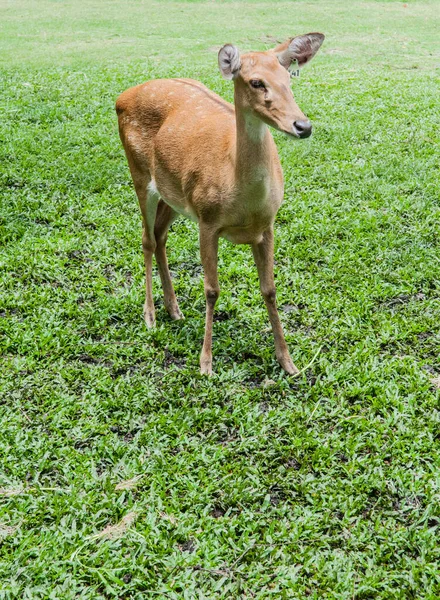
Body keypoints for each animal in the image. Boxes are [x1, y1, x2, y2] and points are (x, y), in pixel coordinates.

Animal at [116, 32, 324, 376]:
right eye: (256, 82)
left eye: (289, 79)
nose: (303, 126)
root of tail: (121, 98)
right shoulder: (207, 219)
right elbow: (212, 289)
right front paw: (206, 363)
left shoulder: (268, 225)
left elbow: (270, 289)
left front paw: (288, 362)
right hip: (139, 173)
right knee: (146, 239)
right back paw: (150, 315)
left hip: (174, 195)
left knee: (159, 236)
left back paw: (174, 310)